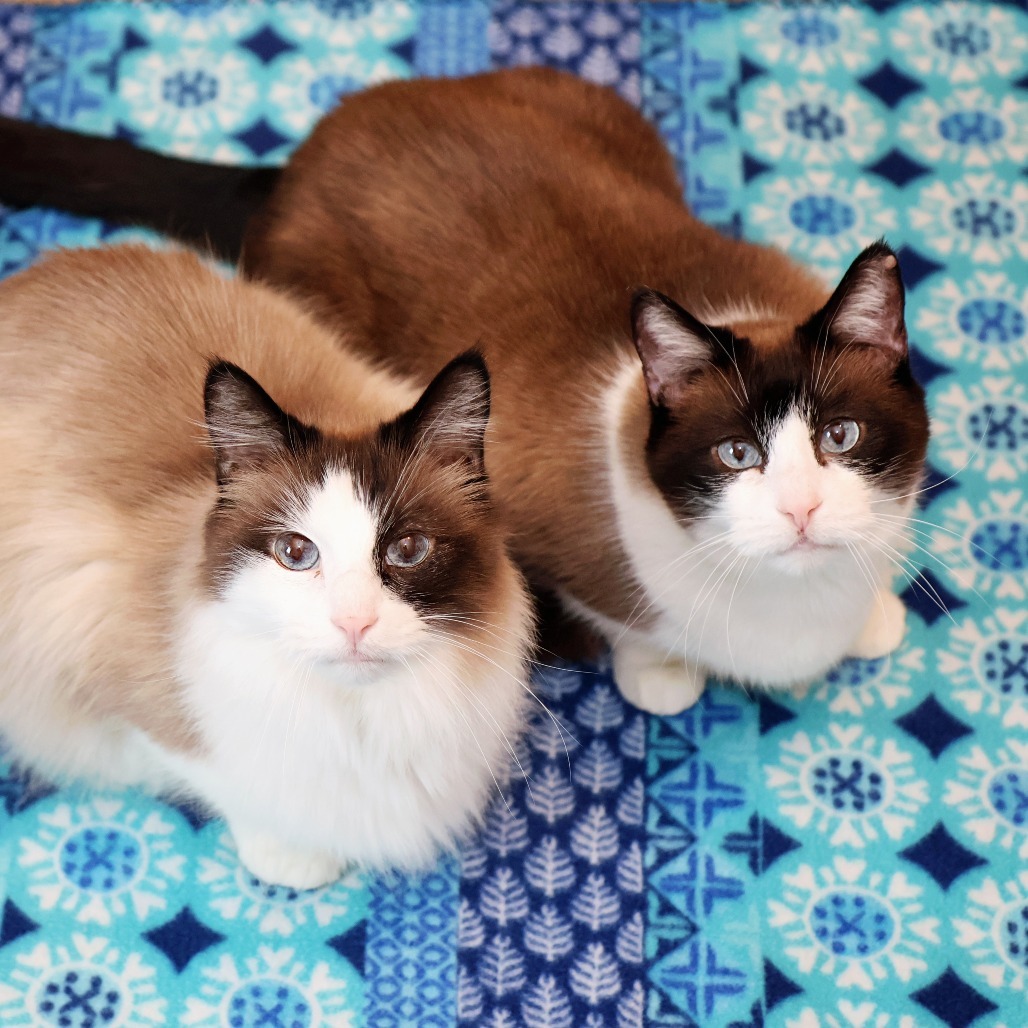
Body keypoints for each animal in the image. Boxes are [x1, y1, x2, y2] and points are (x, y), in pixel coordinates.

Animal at [0, 66, 933, 715]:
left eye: (841, 438)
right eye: (738, 455)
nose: (803, 511)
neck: (799, 605)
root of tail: (298, 159)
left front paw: (875, 617)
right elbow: (630, 633)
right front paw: (661, 674)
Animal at [0, 244, 530, 888]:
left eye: (408, 550)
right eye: (296, 555)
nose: (354, 624)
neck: (360, 722)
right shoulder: (80, 632)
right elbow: (224, 781)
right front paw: (296, 862)